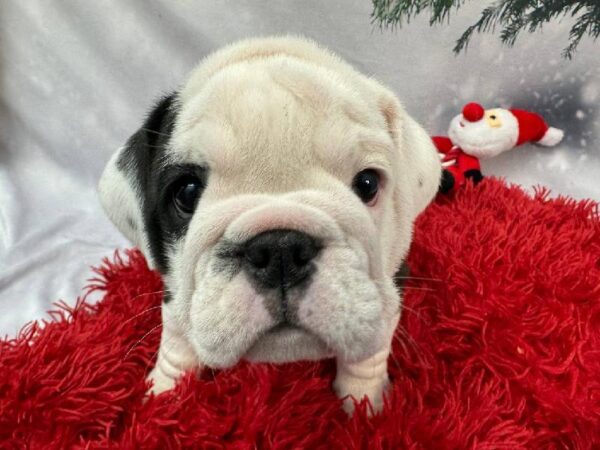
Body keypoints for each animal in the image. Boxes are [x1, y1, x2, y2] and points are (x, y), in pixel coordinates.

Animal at [99, 37, 440, 414]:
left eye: (367, 184)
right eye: (186, 193)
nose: (280, 249)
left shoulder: (390, 290)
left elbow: (369, 354)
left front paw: (364, 405)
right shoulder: (174, 292)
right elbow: (175, 340)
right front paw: (161, 396)